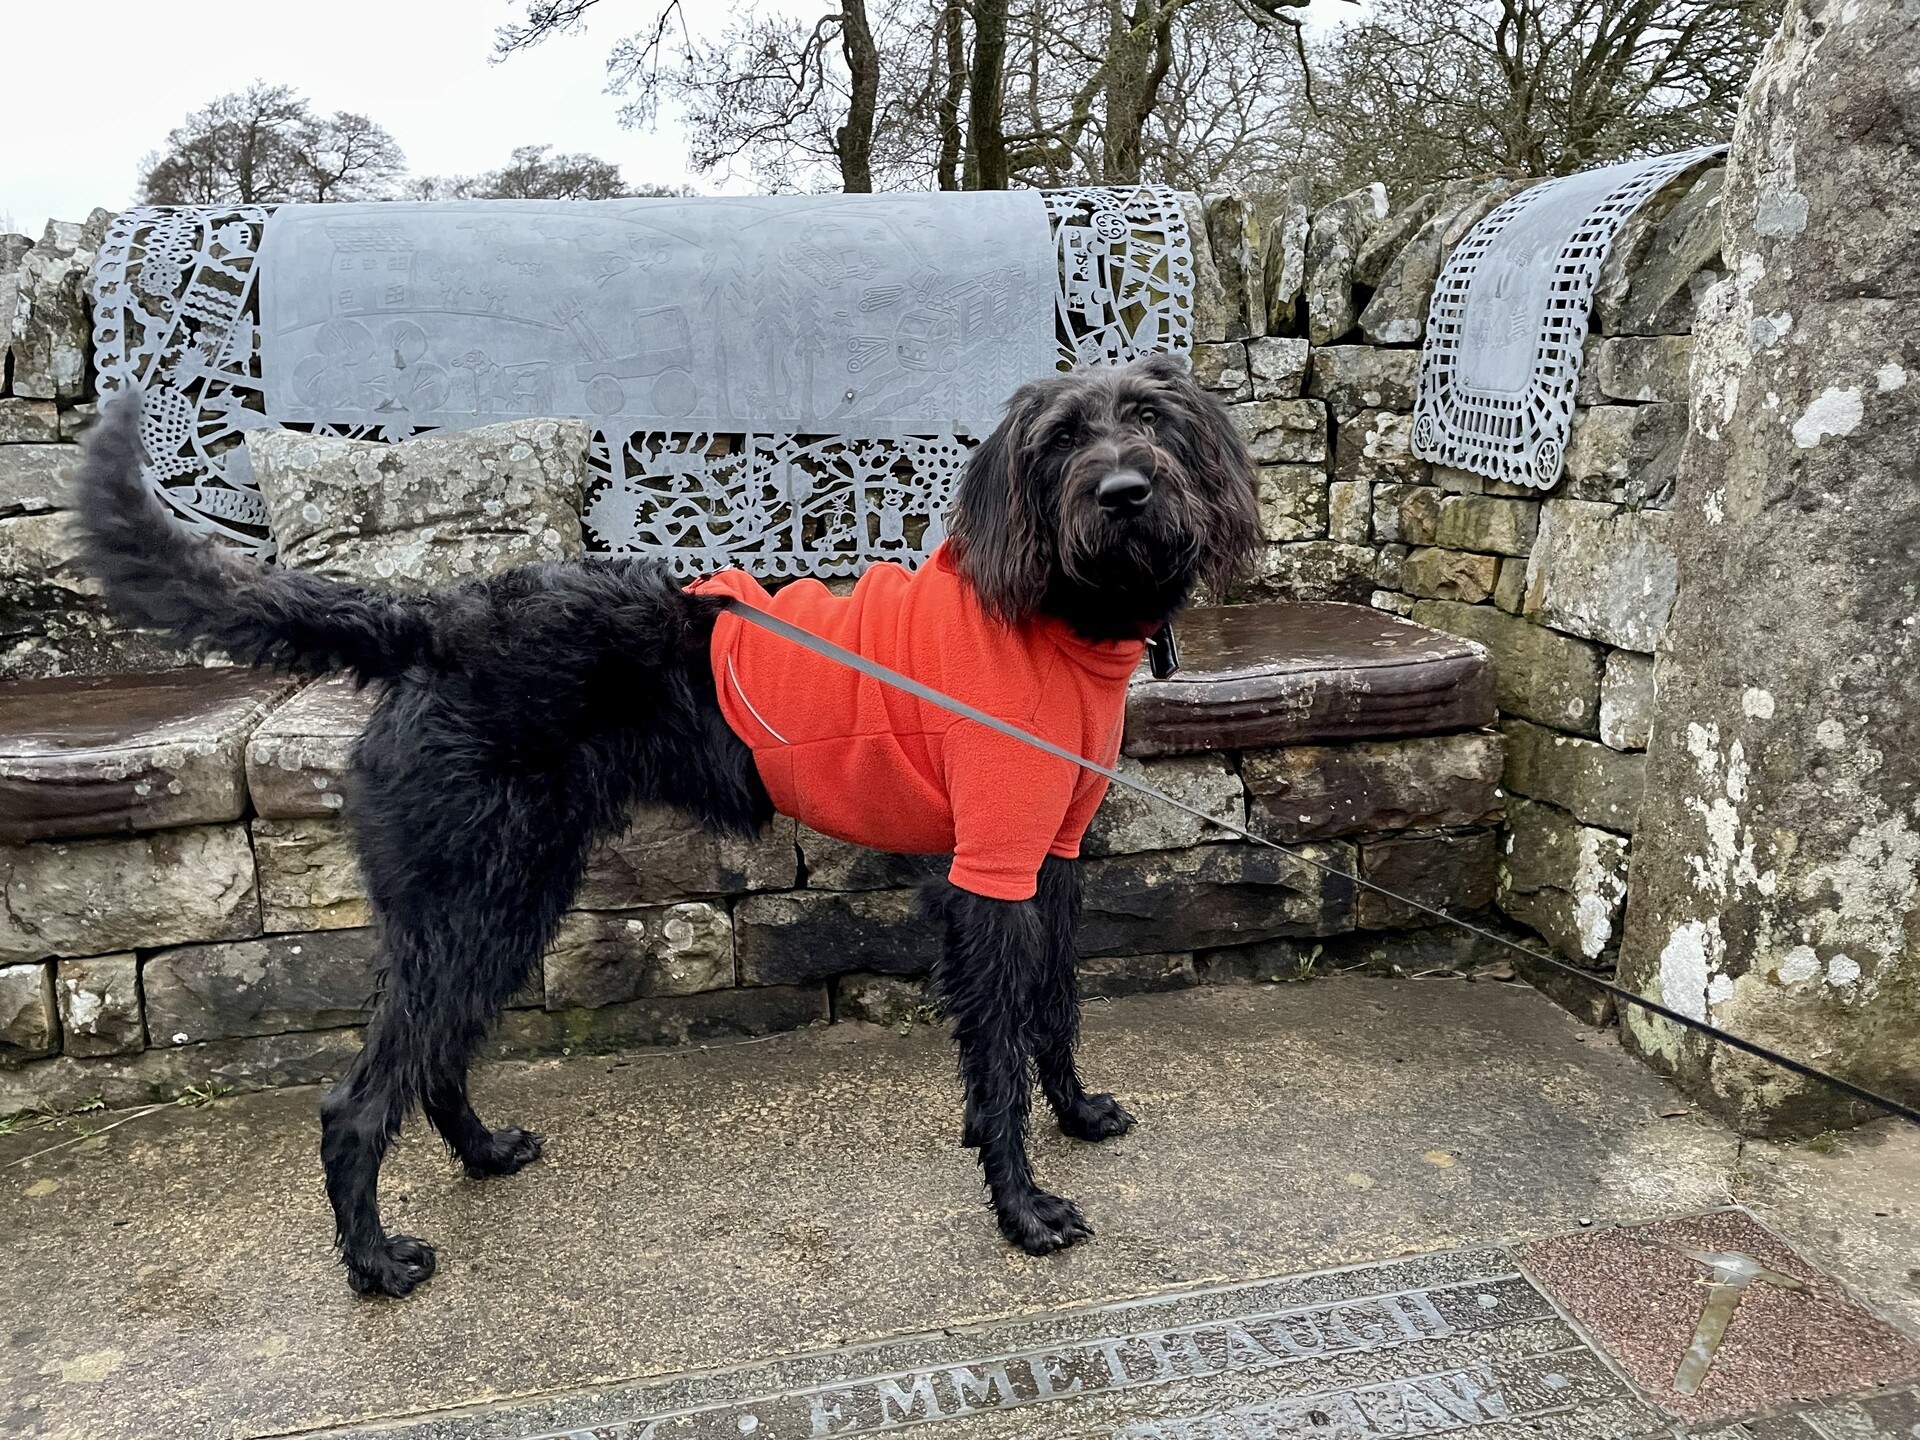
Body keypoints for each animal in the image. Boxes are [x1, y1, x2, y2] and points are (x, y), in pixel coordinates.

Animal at [74, 355, 1267, 1305]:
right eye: (1061, 439)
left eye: (1151, 419)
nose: (1124, 490)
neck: (1051, 620)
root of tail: (433, 619)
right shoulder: (988, 875)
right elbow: (998, 1052)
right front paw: (1023, 1208)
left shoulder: (1047, 860)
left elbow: (1054, 1010)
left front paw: (1076, 1113)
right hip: (477, 899)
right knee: (356, 1103)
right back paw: (373, 1265)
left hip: (504, 899)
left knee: (437, 1052)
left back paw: (481, 1152)